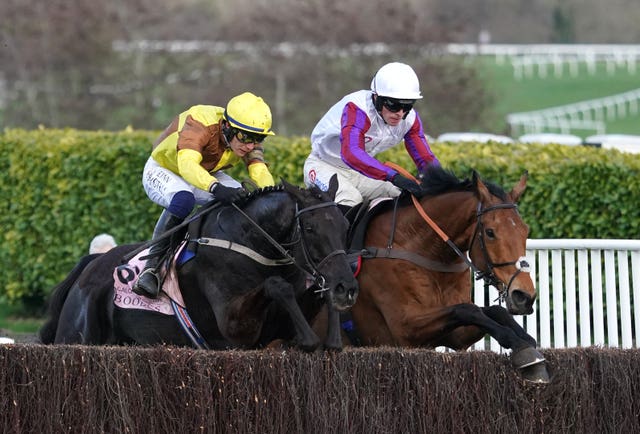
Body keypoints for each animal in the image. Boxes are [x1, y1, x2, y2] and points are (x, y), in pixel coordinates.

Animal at [38, 177, 360, 352]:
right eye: (310, 228)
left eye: (345, 225)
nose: (346, 287)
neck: (252, 241)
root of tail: (91, 265)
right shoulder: (234, 327)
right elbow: (275, 285)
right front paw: (310, 338)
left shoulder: (275, 327)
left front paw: (332, 334)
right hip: (77, 335)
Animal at [336, 164, 552, 382]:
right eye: (490, 232)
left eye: (525, 230)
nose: (524, 296)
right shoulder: (404, 329)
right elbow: (468, 309)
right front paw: (520, 345)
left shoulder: (455, 336)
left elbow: (492, 310)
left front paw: (526, 340)